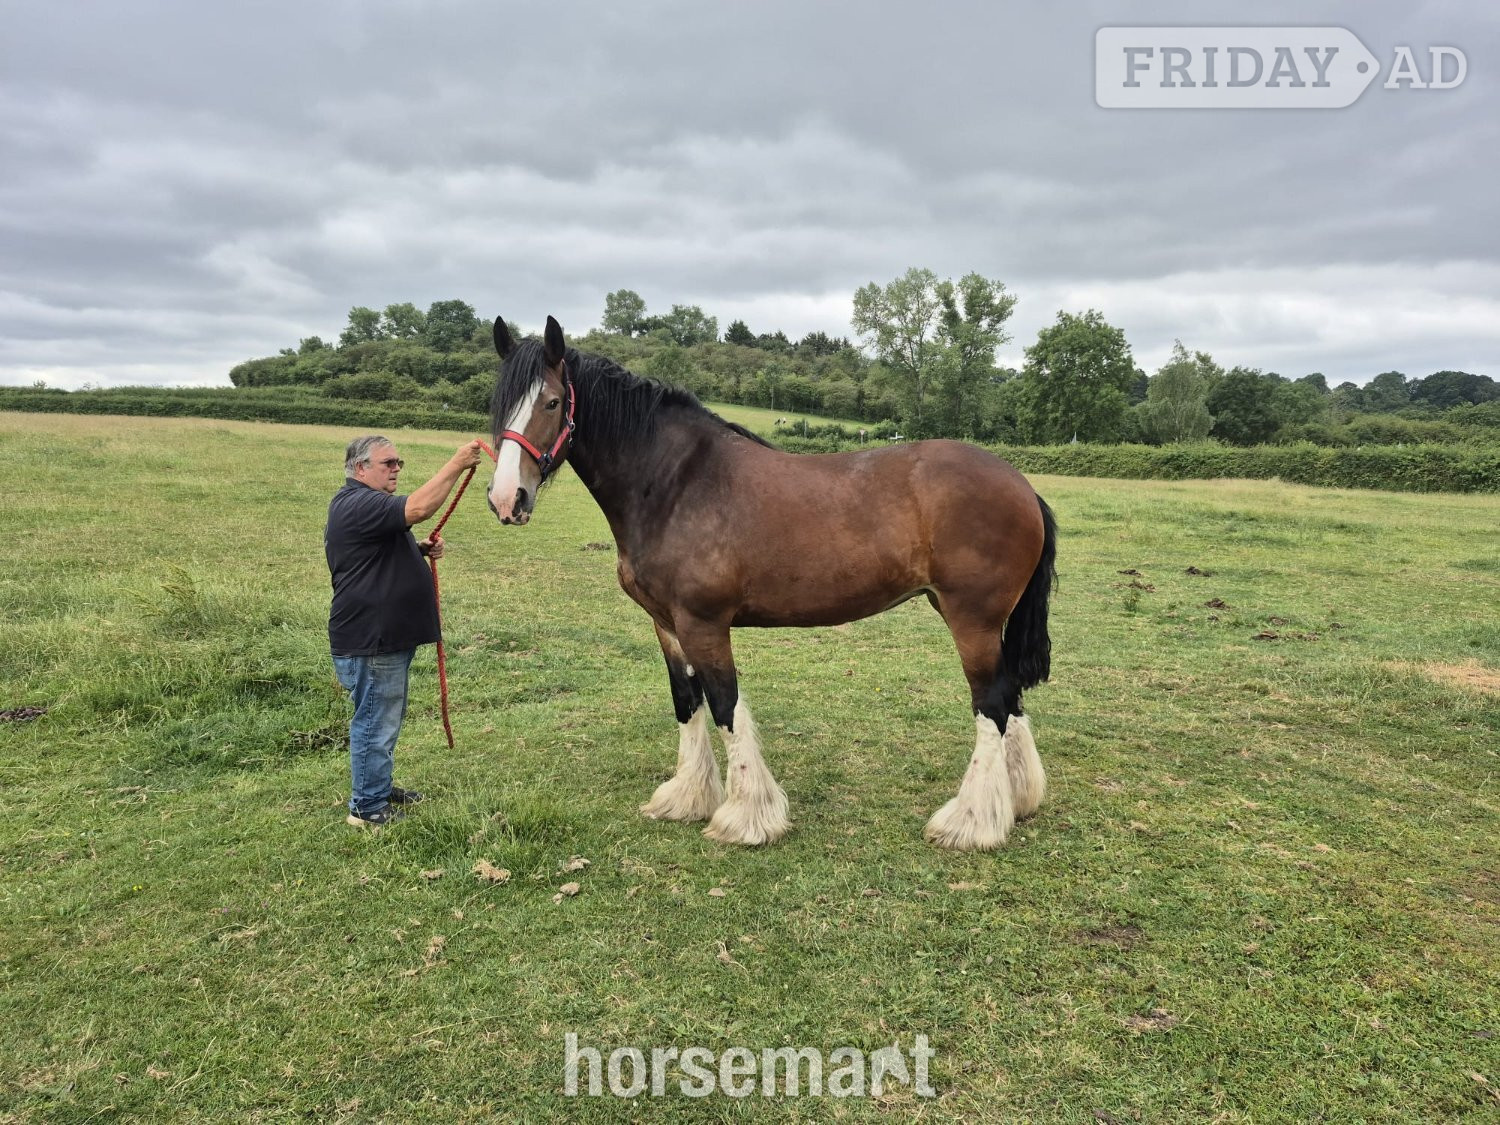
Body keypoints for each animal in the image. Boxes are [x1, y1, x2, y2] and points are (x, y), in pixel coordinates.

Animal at [486, 315, 1057, 851]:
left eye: (553, 403)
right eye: (497, 404)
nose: (506, 499)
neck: (676, 484)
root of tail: (1022, 486)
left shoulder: (704, 624)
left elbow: (724, 705)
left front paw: (746, 818)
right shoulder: (666, 625)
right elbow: (686, 701)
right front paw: (688, 798)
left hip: (971, 620)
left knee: (991, 704)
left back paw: (970, 822)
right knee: (1010, 698)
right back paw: (1016, 801)